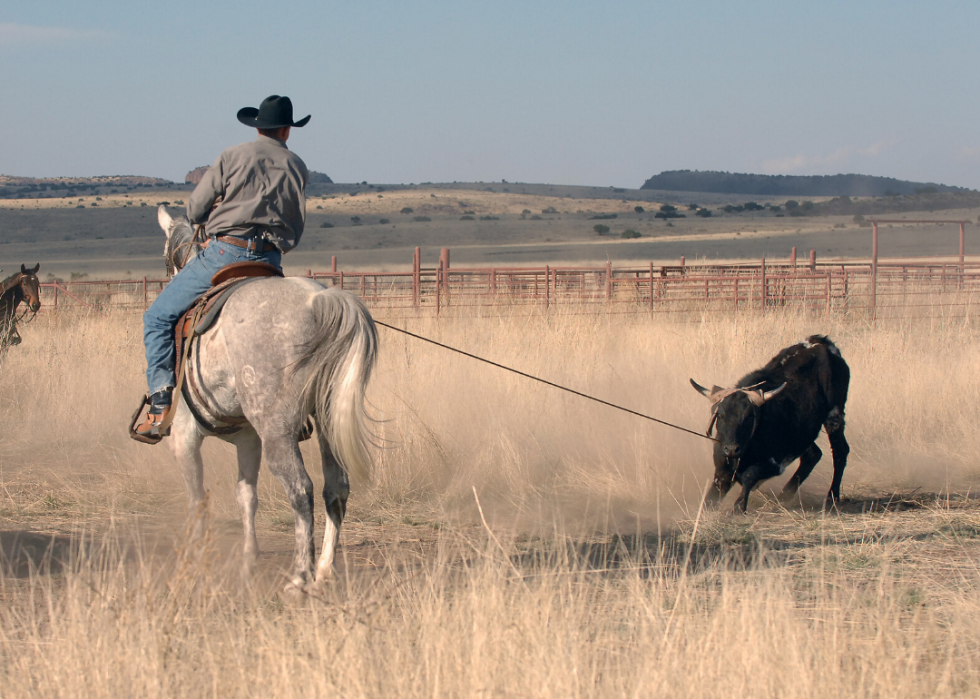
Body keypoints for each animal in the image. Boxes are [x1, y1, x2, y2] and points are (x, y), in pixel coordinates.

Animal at [157, 205, 378, 592]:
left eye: (165, 255)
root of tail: (322, 300)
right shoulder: (248, 438)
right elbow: (247, 497)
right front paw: (248, 559)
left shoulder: (184, 436)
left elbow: (197, 498)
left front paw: (195, 558)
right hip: (327, 425)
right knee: (336, 488)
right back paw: (324, 569)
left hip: (278, 434)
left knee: (301, 490)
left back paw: (300, 576)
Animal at [688, 334, 848, 516]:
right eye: (720, 415)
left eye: (749, 417)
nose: (731, 449)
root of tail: (821, 343)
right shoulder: (722, 470)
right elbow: (711, 496)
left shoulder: (775, 463)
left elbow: (750, 475)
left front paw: (739, 507)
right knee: (813, 454)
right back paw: (785, 495)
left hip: (834, 414)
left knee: (840, 451)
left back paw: (832, 497)